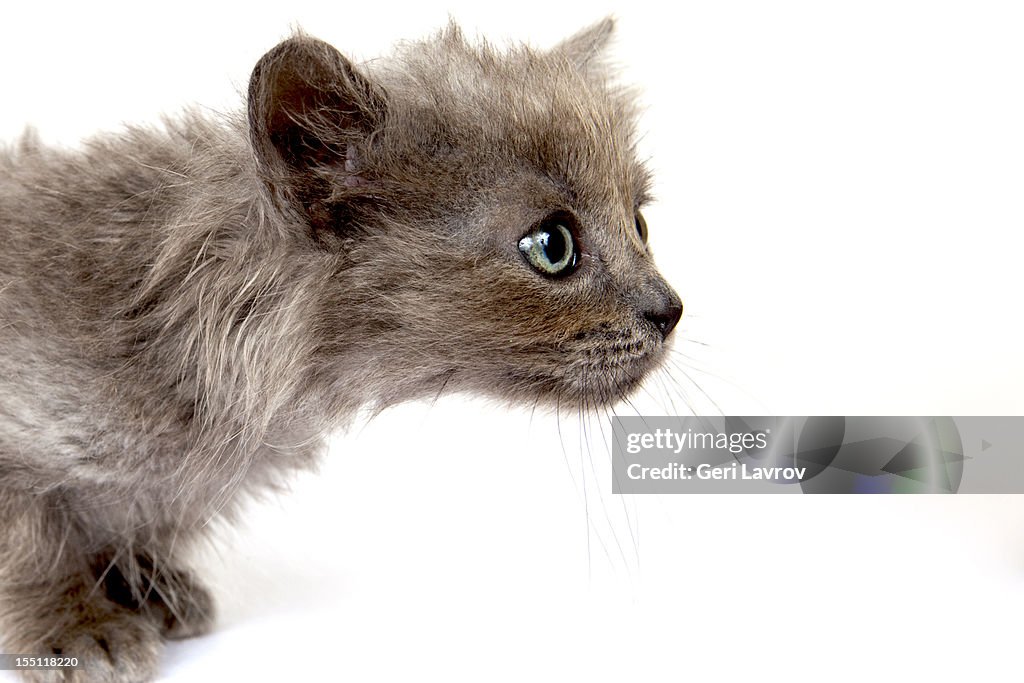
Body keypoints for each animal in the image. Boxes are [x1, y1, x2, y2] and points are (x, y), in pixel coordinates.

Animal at [0, 21, 684, 683]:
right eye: (552, 244)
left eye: (640, 225)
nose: (670, 309)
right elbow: (28, 541)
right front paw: (77, 629)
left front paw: (147, 583)